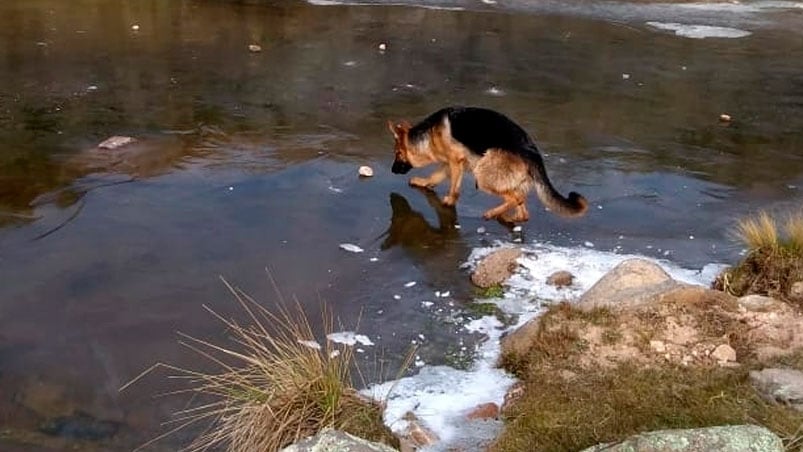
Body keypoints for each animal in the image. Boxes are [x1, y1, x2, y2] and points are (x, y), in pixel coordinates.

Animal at [390, 106, 592, 222]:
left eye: (397, 154)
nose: (392, 171)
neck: (428, 134)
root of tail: (533, 153)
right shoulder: (452, 163)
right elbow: (436, 175)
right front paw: (424, 182)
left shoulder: (455, 161)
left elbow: (453, 187)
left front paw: (449, 201)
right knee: (523, 210)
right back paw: (507, 217)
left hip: (483, 176)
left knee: (516, 198)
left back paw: (492, 213)